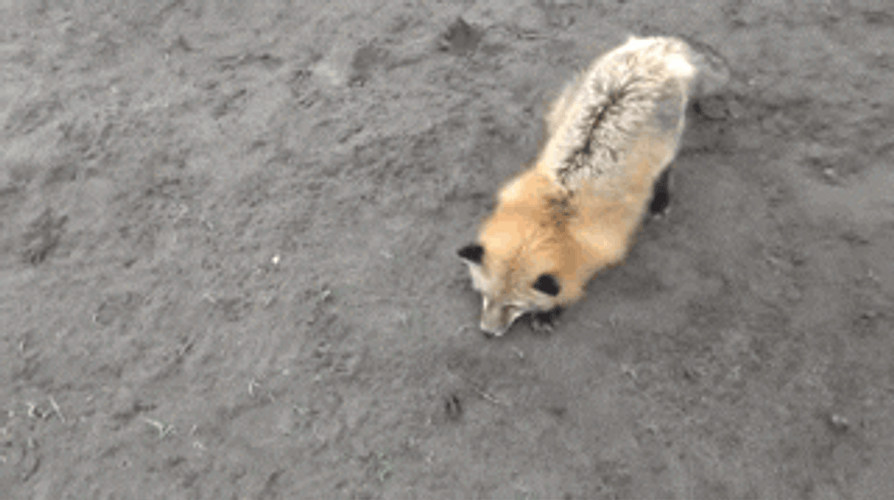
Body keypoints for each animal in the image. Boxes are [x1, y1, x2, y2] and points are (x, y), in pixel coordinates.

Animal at [458, 35, 729, 337]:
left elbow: (573, 283)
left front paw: (551, 312)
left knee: (667, 168)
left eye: (514, 306)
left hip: (666, 150)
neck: (554, 213)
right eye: (485, 296)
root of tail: (657, 51)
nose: (488, 332)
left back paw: (661, 200)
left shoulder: (606, 245)